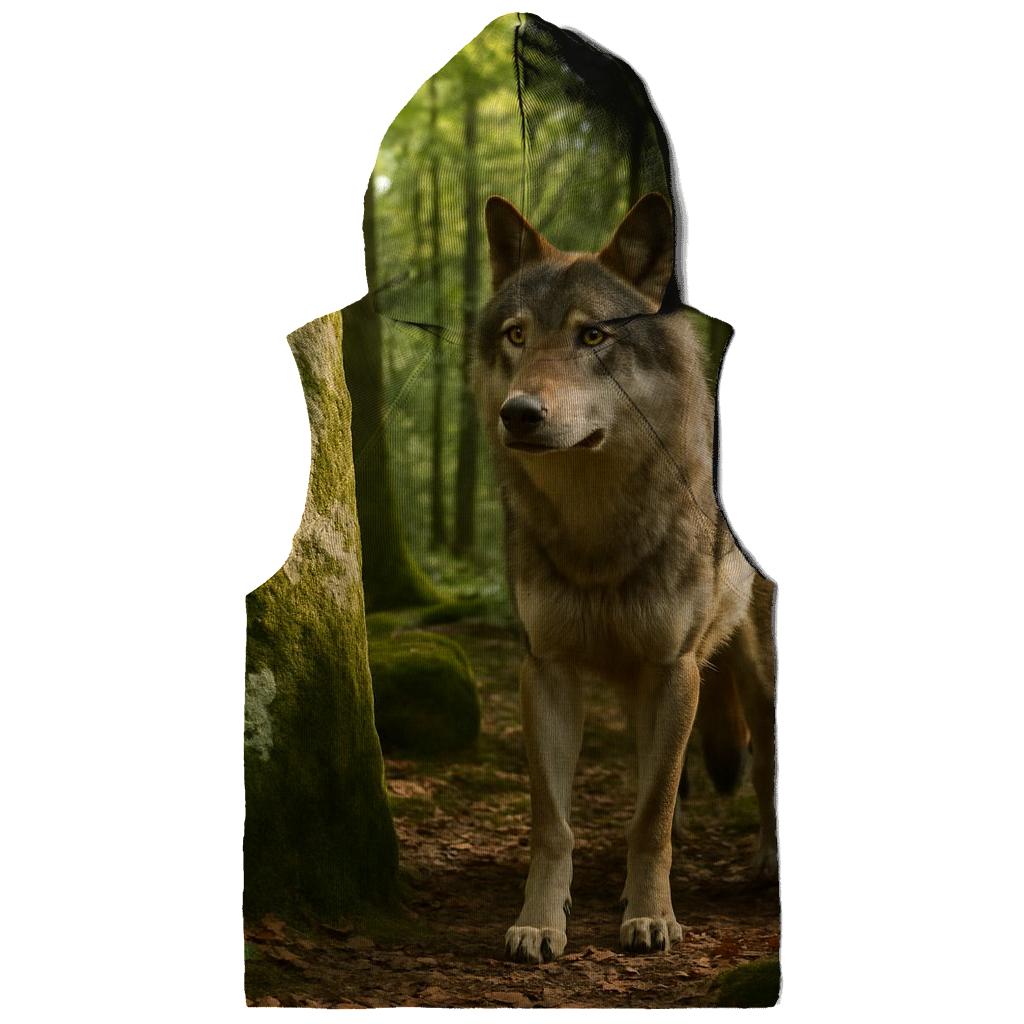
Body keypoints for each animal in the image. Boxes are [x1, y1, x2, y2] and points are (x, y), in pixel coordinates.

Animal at [473, 192, 778, 964]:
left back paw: (768, 862)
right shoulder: (546, 668)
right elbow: (555, 822)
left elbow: (654, 815)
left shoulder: (675, 669)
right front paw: (541, 922)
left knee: (764, 766)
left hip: (755, 674)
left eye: (593, 336)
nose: (520, 413)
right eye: (517, 335)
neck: (598, 534)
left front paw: (651, 919)